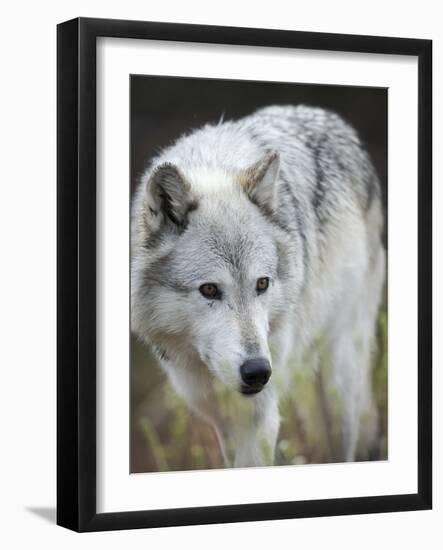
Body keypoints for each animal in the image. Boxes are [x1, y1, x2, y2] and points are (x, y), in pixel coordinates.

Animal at [131, 104, 386, 470]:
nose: (257, 372)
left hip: (339, 383)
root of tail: (331, 118)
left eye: (262, 284)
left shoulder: (260, 417)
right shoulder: (220, 418)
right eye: (210, 290)